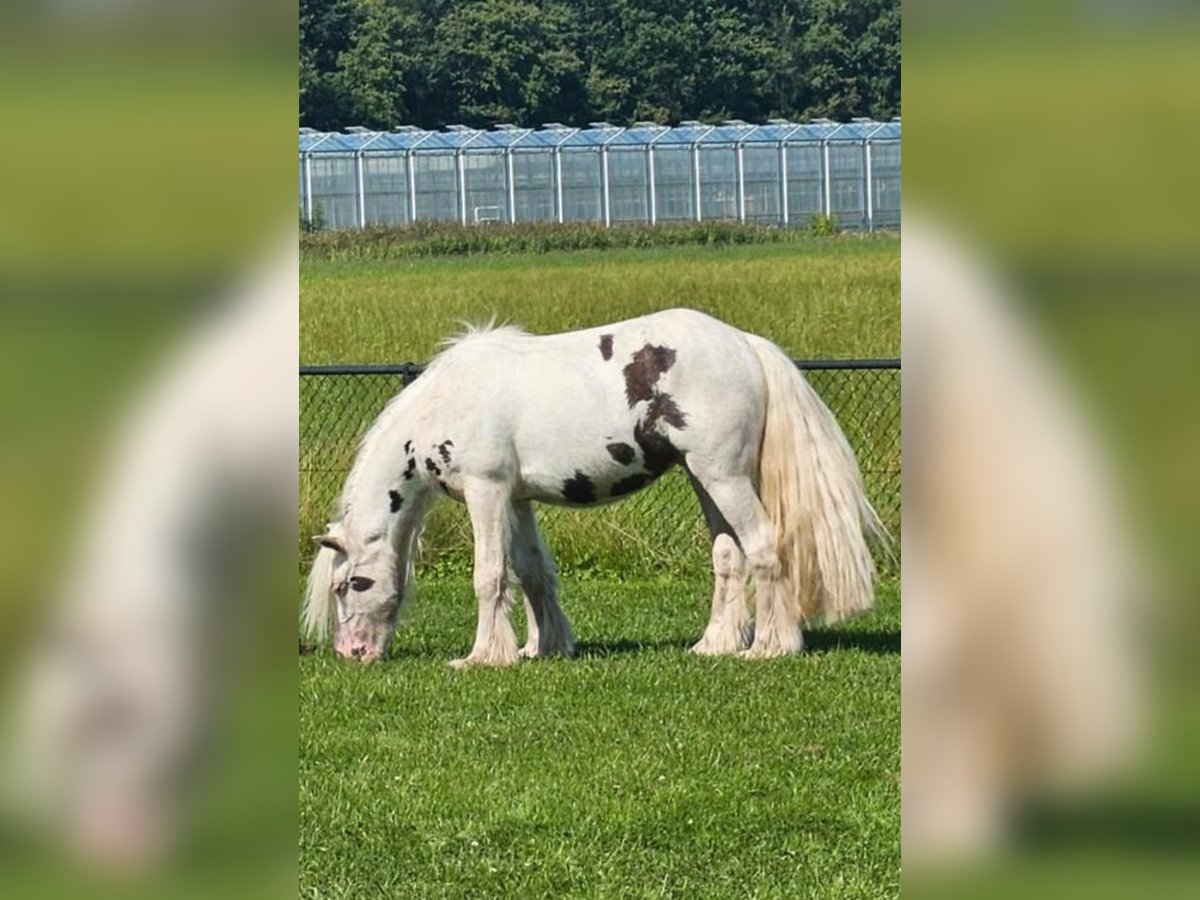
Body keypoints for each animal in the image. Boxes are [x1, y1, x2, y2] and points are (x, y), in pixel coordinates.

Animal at [303, 308, 883, 667]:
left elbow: (489, 575)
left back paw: (768, 646)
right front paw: (543, 648)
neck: (449, 400)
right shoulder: (517, 499)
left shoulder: (486, 492)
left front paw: (483, 656)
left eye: (349, 584)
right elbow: (532, 572)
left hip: (724, 475)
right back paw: (713, 644)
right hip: (704, 477)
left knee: (763, 545)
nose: (351, 654)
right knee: (727, 555)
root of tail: (745, 344)